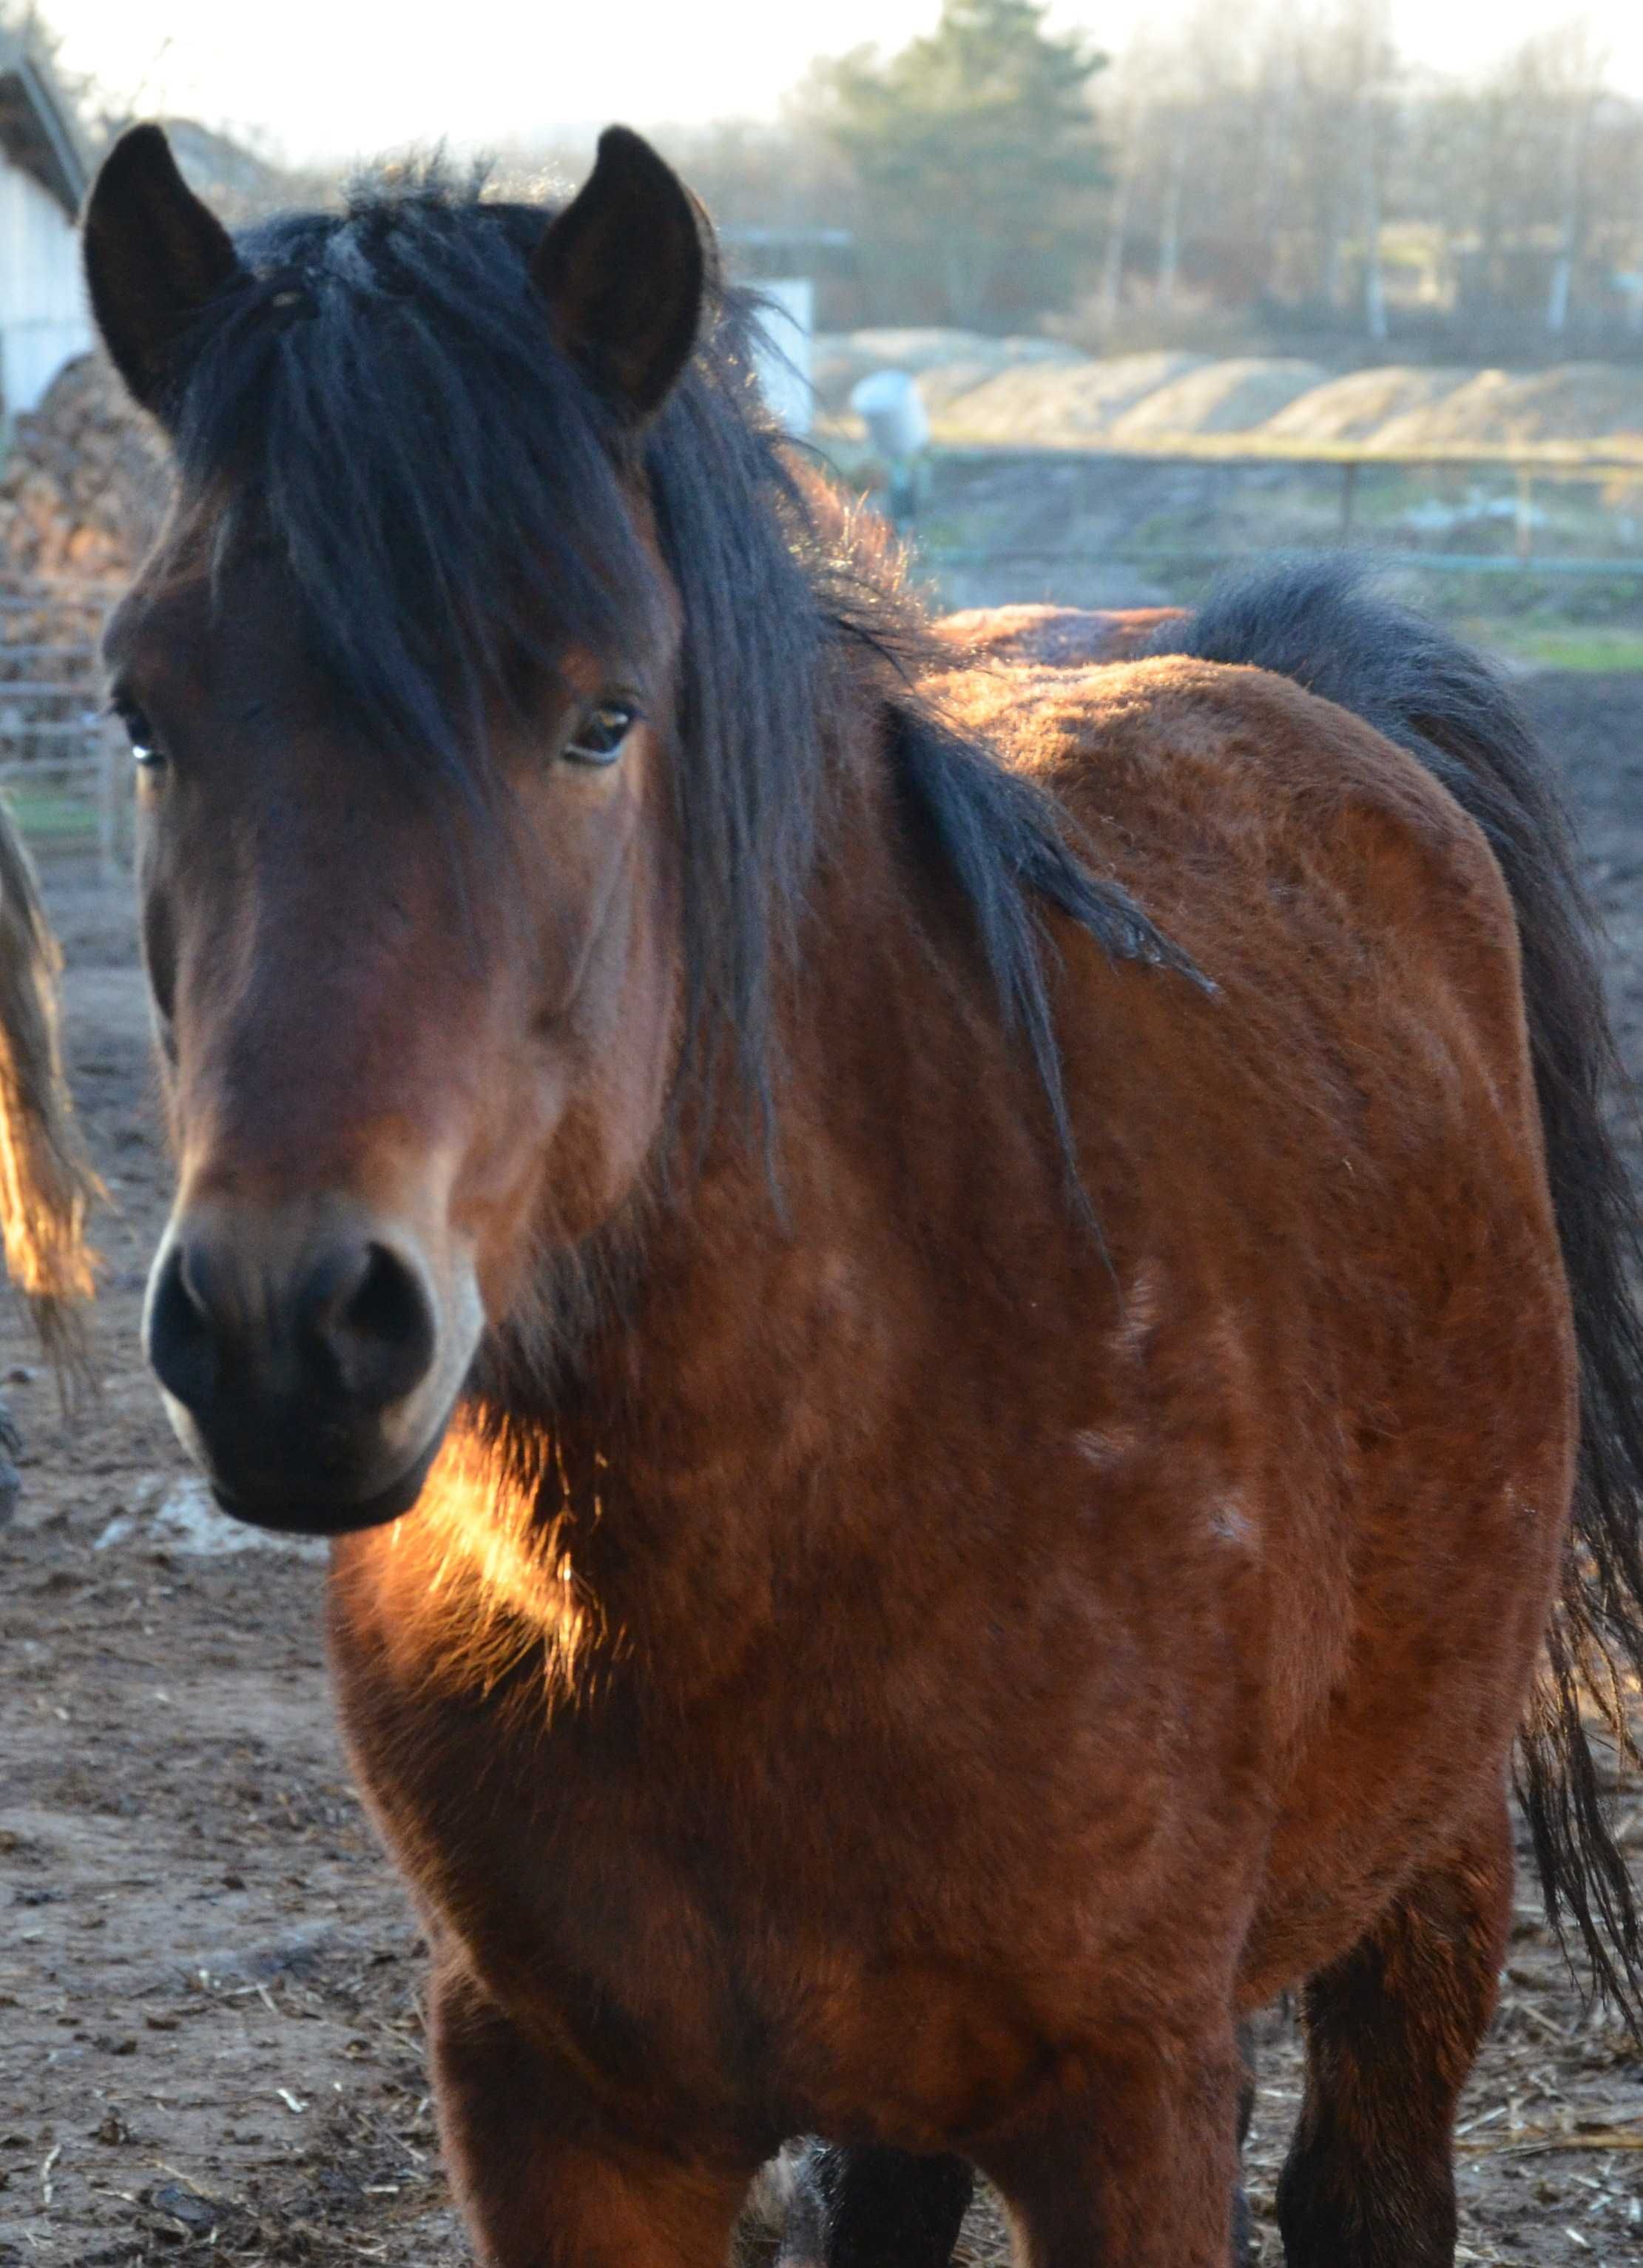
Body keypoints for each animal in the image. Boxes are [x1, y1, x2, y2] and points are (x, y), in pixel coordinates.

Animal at [87, 128, 1640, 2268]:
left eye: (602, 715)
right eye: (144, 714)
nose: (285, 1332)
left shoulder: (1132, 2102)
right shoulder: (554, 2100)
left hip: (1425, 1855)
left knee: (1370, 2182)